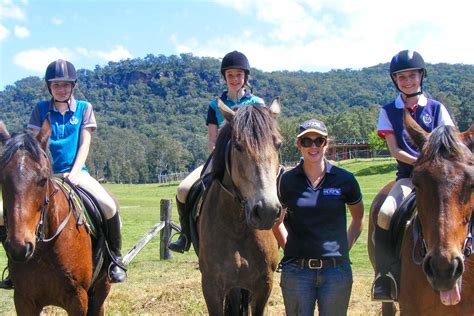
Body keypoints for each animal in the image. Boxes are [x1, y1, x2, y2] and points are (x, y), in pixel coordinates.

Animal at [0, 119, 110, 316]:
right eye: (1, 179)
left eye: (43, 179)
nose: (19, 247)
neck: (45, 247)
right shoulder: (23, 300)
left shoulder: (78, 300)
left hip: (101, 288)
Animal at [199, 99, 284, 316]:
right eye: (238, 146)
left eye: (278, 144)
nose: (266, 211)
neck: (237, 226)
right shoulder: (211, 287)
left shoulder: (264, 285)